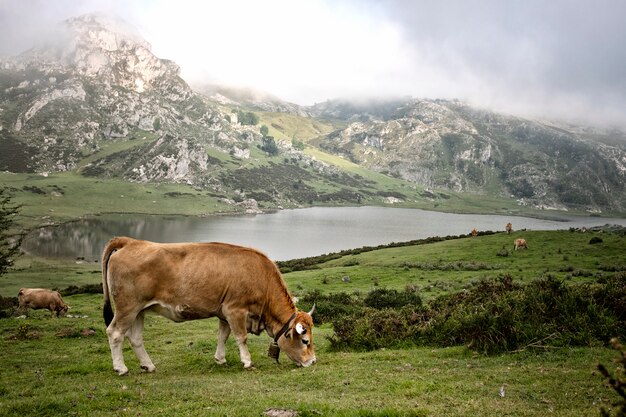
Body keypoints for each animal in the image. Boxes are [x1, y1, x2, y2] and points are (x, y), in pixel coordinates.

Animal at [103, 236, 316, 376]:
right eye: (305, 341)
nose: (313, 361)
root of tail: (130, 241)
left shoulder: (224, 313)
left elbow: (223, 336)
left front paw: (220, 359)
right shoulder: (235, 309)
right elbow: (241, 337)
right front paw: (247, 361)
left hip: (139, 310)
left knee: (135, 338)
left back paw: (148, 366)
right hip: (127, 307)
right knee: (115, 333)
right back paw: (121, 368)